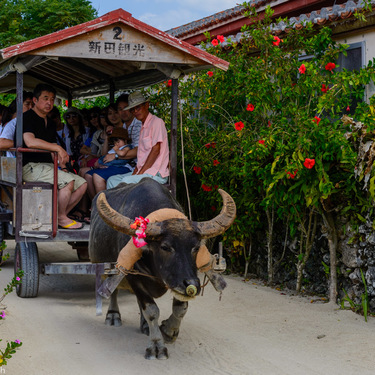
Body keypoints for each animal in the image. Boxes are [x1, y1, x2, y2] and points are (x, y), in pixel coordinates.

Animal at [89, 179, 235, 362]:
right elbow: (151, 310)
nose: (192, 284)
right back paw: (113, 315)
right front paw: (156, 346)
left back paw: (145, 326)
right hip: (106, 268)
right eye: (166, 247)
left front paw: (168, 330)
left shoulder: (178, 283)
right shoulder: (134, 277)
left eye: (195, 247)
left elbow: (180, 308)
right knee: (113, 290)